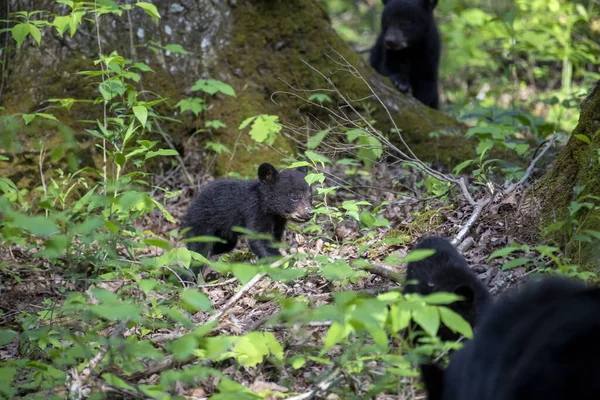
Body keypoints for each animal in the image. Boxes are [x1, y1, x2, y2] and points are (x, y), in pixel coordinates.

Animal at [183, 162, 314, 278]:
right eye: (294, 197)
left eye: (310, 197)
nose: (309, 213)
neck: (270, 210)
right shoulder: (254, 212)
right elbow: (258, 238)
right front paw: (282, 265)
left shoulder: (278, 222)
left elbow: (274, 237)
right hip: (201, 224)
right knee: (197, 251)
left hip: (225, 236)